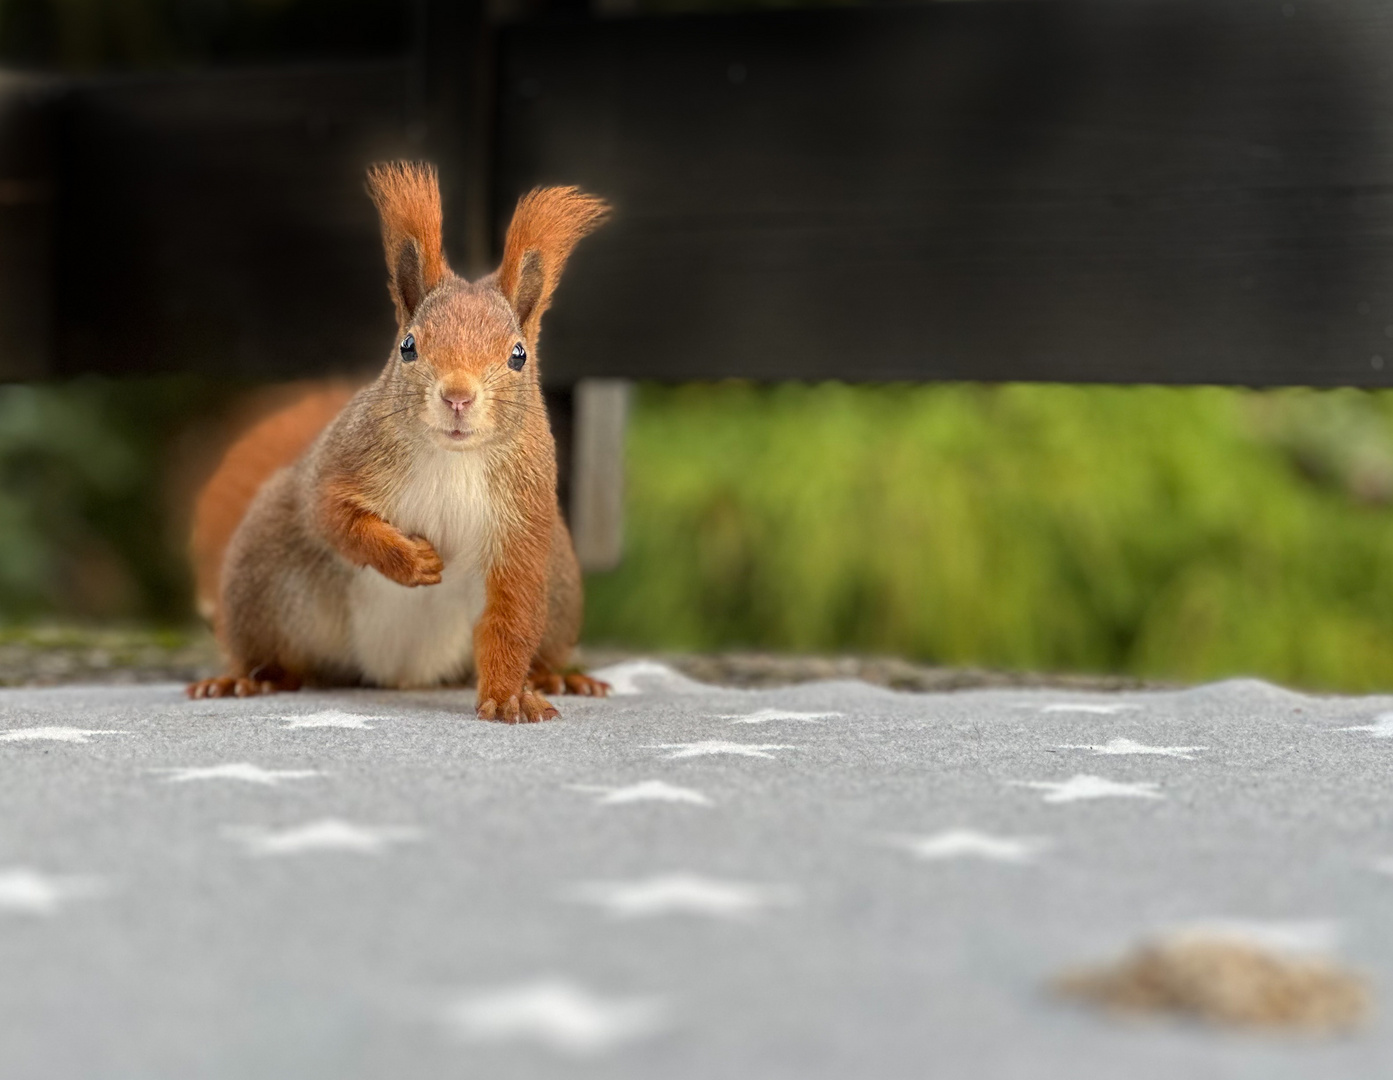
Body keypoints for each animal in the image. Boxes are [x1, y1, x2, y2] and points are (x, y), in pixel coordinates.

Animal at [188, 160, 612, 724]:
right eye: (408, 345)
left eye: (518, 355)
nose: (457, 396)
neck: (453, 456)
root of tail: (399, 671)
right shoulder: (343, 461)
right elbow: (332, 513)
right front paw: (411, 562)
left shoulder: (524, 522)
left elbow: (512, 615)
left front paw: (508, 696)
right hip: (261, 574)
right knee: (273, 654)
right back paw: (245, 679)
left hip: (561, 583)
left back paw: (557, 677)